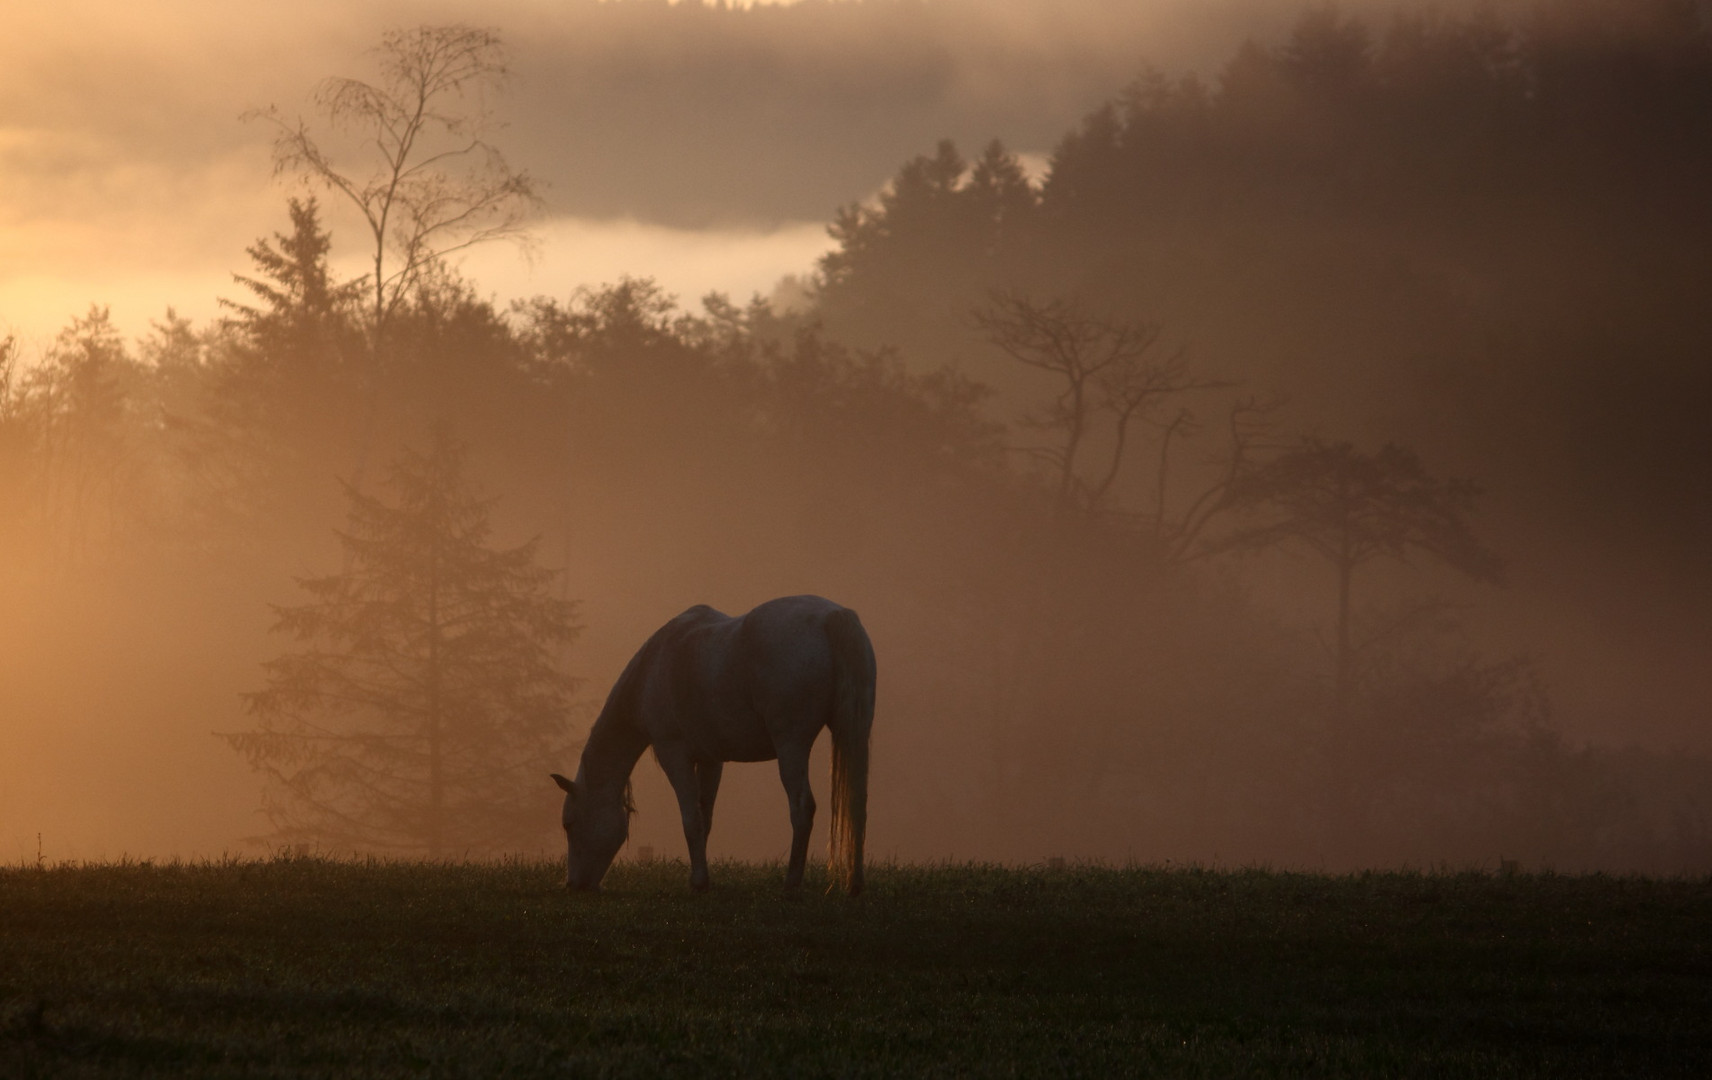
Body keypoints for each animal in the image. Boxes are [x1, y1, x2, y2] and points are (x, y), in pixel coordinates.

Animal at [551, 599, 876, 896]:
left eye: (569, 823)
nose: (573, 884)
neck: (654, 669)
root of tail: (833, 616)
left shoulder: (674, 755)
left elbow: (691, 819)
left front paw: (698, 882)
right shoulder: (711, 761)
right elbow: (705, 818)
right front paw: (702, 878)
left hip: (791, 746)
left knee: (802, 807)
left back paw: (791, 883)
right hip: (854, 735)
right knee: (857, 804)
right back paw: (855, 884)